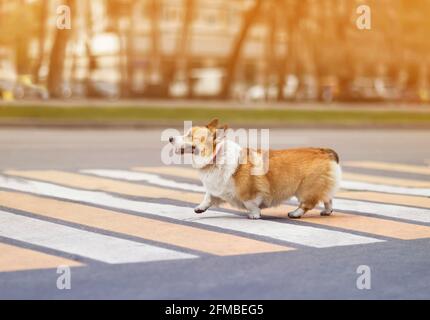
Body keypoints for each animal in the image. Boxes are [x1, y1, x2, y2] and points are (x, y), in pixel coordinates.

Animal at [170, 119, 340, 219]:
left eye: (190, 135)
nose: (170, 138)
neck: (215, 158)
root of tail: (324, 151)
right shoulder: (216, 189)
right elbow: (208, 198)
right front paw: (200, 208)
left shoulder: (249, 194)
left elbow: (250, 204)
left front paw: (254, 215)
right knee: (328, 198)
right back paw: (327, 211)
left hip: (305, 189)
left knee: (308, 203)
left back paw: (295, 213)